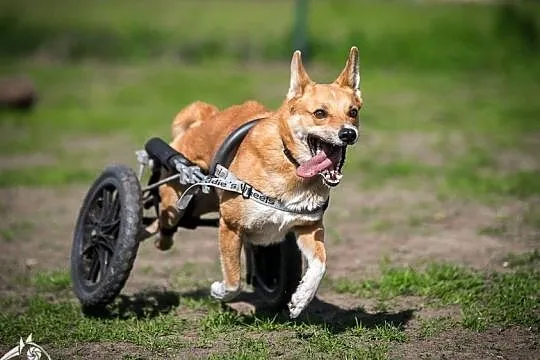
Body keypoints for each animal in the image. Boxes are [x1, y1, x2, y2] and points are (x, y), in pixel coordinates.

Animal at [154, 45, 362, 318]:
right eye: (320, 113)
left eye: (353, 112)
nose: (348, 133)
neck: (291, 165)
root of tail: (204, 120)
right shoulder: (230, 225)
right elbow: (233, 280)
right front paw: (219, 291)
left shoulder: (308, 226)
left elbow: (320, 264)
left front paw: (300, 299)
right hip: (177, 201)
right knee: (163, 221)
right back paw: (159, 238)